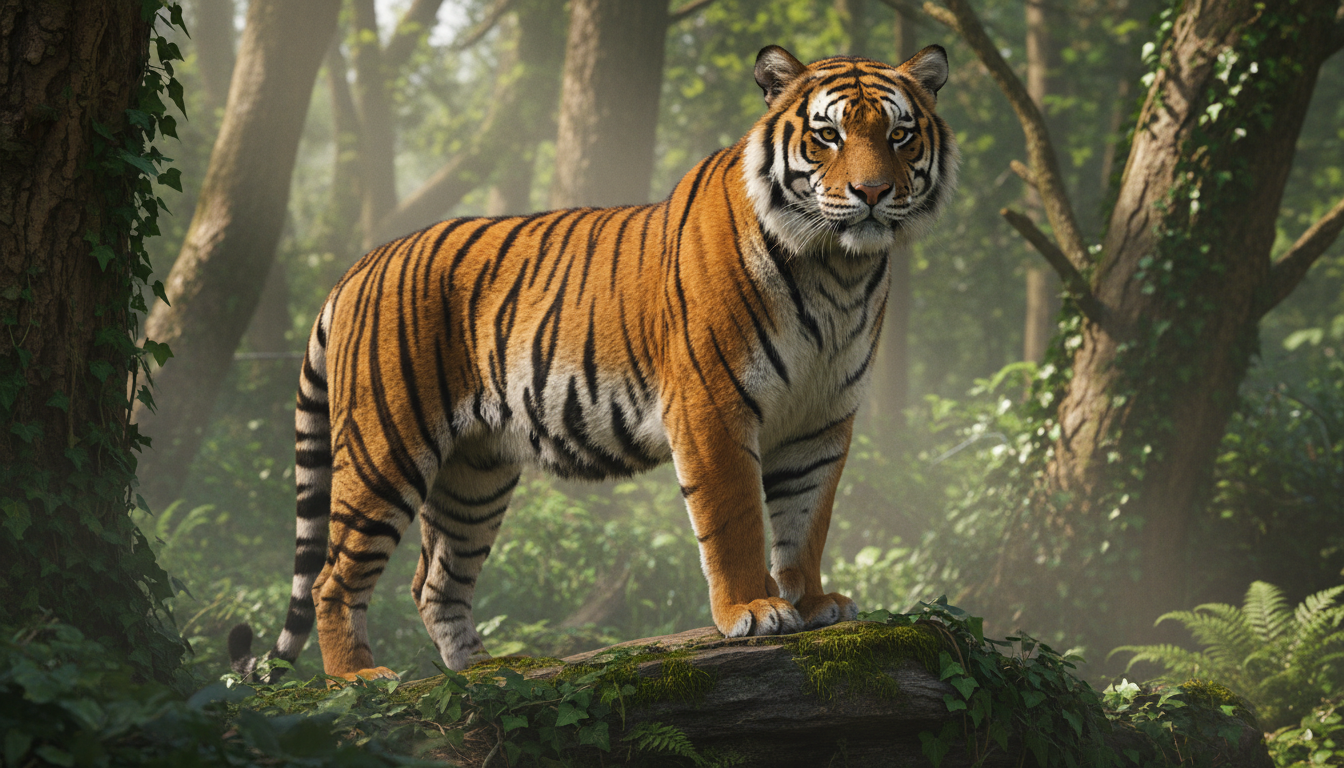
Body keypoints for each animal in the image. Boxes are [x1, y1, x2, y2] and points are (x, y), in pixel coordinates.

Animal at [229, 43, 957, 683]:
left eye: (899, 135)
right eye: (827, 136)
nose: (872, 192)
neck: (838, 271)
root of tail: (359, 265)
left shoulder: (820, 419)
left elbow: (806, 520)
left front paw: (812, 605)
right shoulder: (713, 406)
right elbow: (738, 520)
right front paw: (753, 609)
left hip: (475, 472)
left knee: (434, 579)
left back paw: (489, 669)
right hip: (387, 449)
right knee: (332, 577)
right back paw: (358, 678)